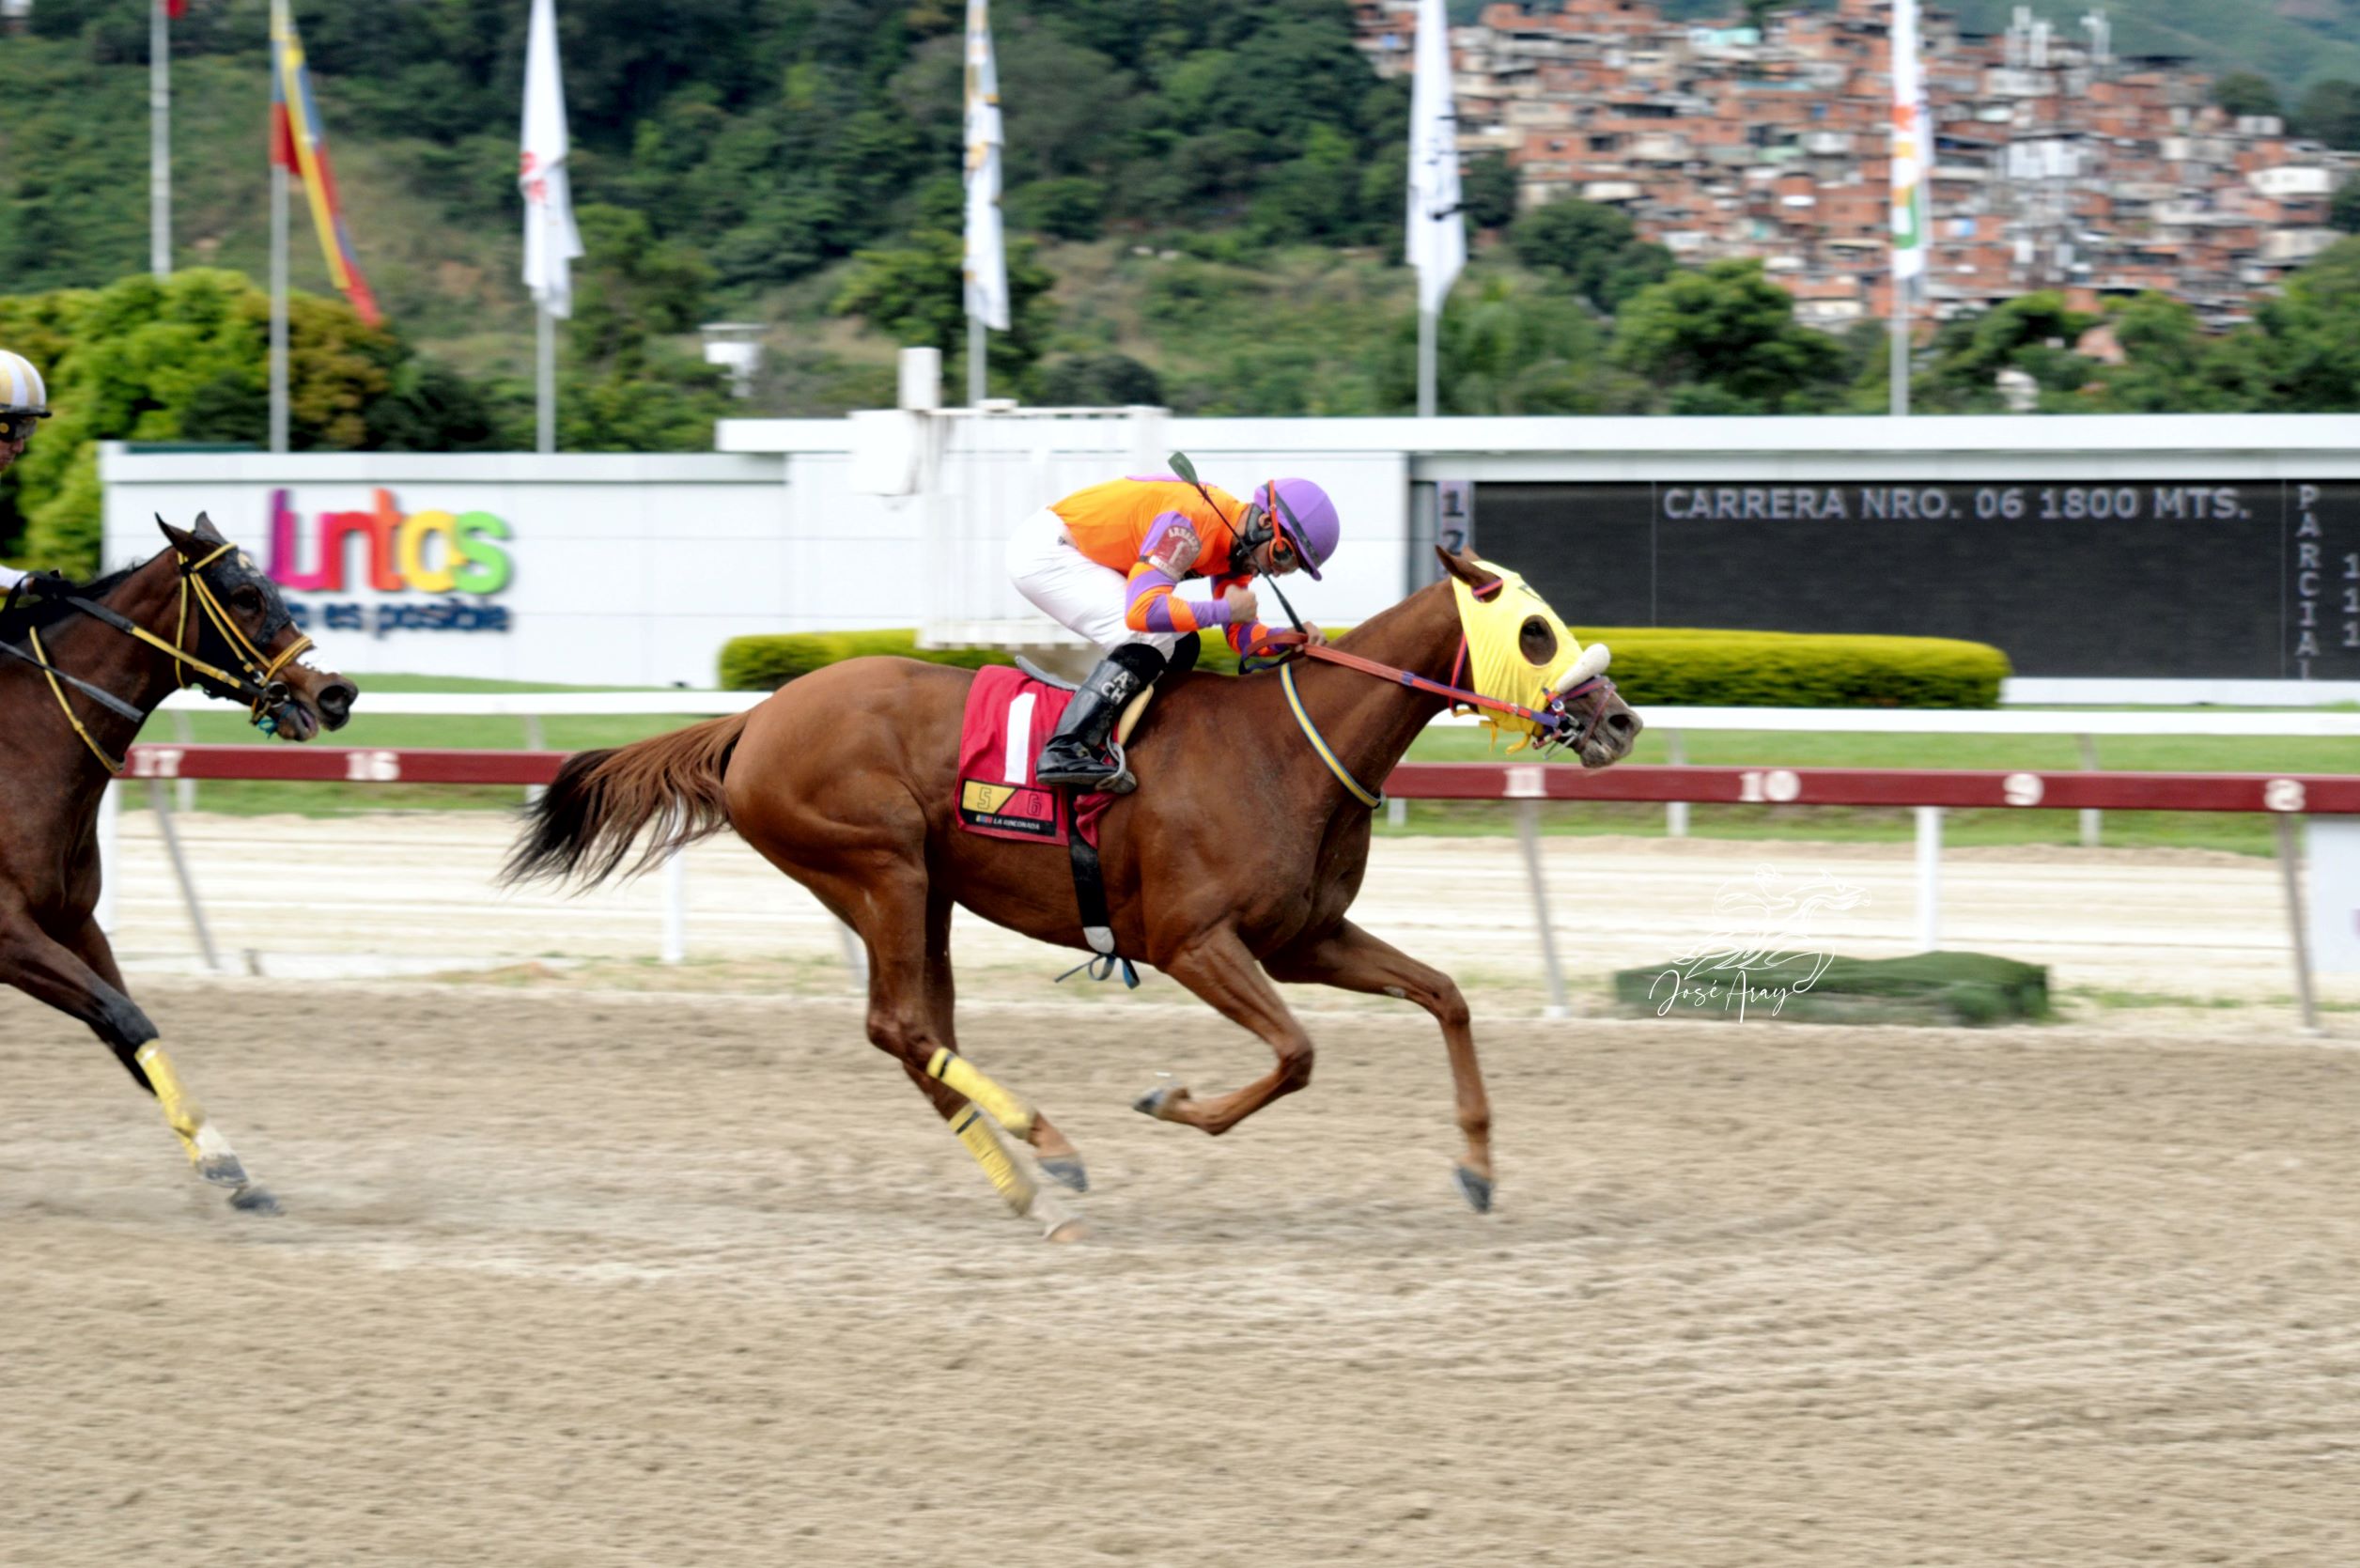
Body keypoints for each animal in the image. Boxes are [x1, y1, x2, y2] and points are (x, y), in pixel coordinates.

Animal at [0, 515, 357, 1211]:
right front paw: (218, 1158)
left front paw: (226, 1161)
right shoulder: (8, 934)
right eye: (244, 596)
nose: (334, 692)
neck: (24, 745)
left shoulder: (74, 922)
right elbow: (126, 1016)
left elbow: (128, 1026)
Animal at [504, 547, 1640, 1238]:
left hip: (923, 892)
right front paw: (1171, 1100)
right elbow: (1296, 1054)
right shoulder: (1195, 942)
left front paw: (1479, 1166)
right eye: (1535, 631)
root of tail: (754, 720)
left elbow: (1443, 994)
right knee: (898, 1025)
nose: (1620, 720)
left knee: (915, 1032)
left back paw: (1031, 1187)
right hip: (879, 866)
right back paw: (1054, 1147)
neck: (1285, 750)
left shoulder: (1303, 937)